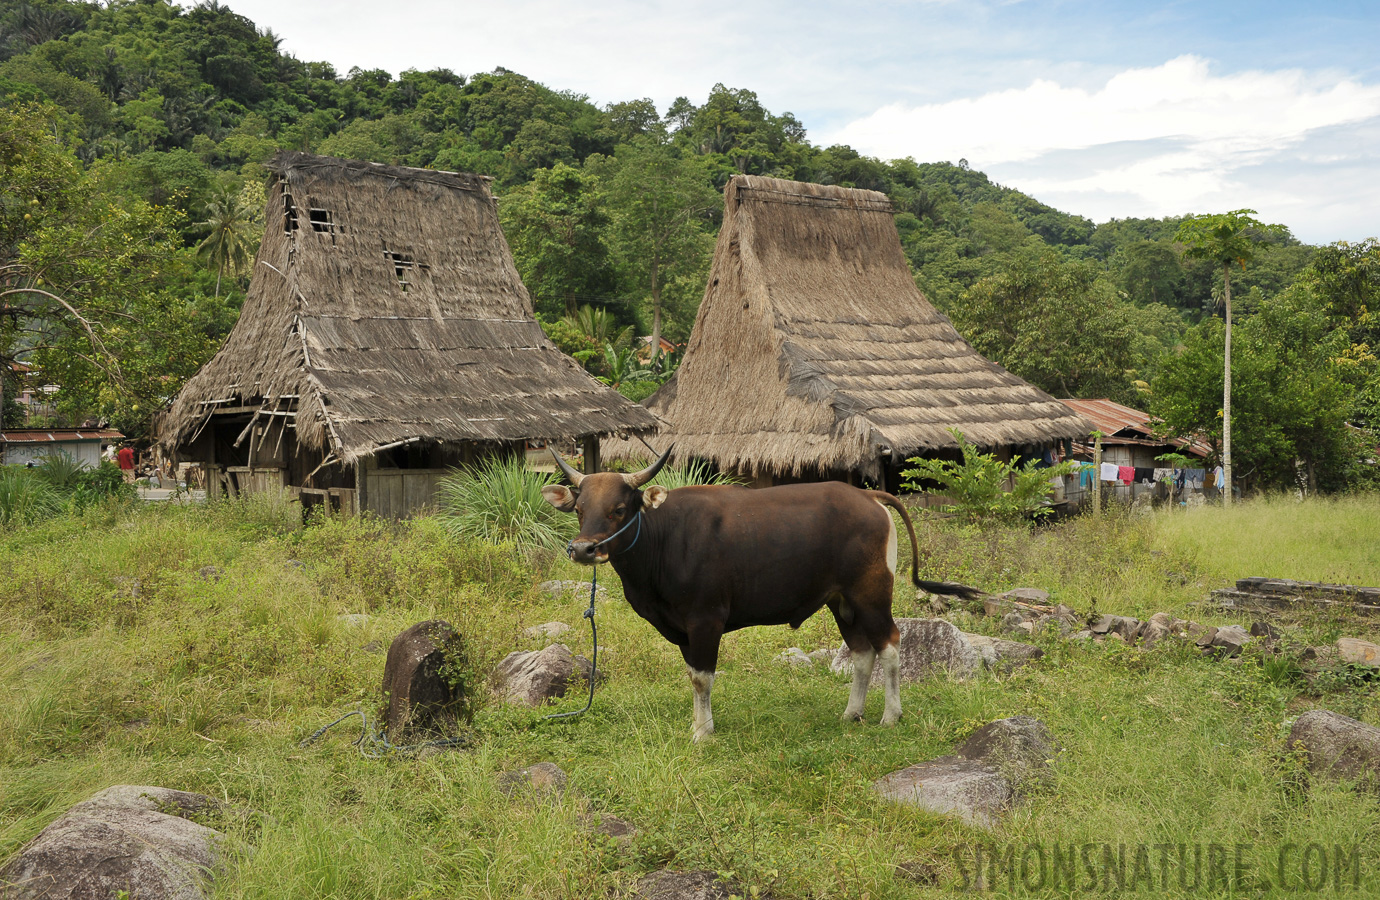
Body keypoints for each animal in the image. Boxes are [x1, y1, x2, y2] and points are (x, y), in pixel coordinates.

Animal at [540, 447, 982, 739]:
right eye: (580, 509)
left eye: (618, 509)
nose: (584, 549)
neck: (663, 541)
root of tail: (868, 495)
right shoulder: (682, 628)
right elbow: (693, 675)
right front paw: (698, 723)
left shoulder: (706, 619)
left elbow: (703, 678)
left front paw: (703, 732)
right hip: (840, 602)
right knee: (861, 652)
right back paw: (851, 713)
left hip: (871, 594)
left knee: (889, 644)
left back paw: (891, 716)